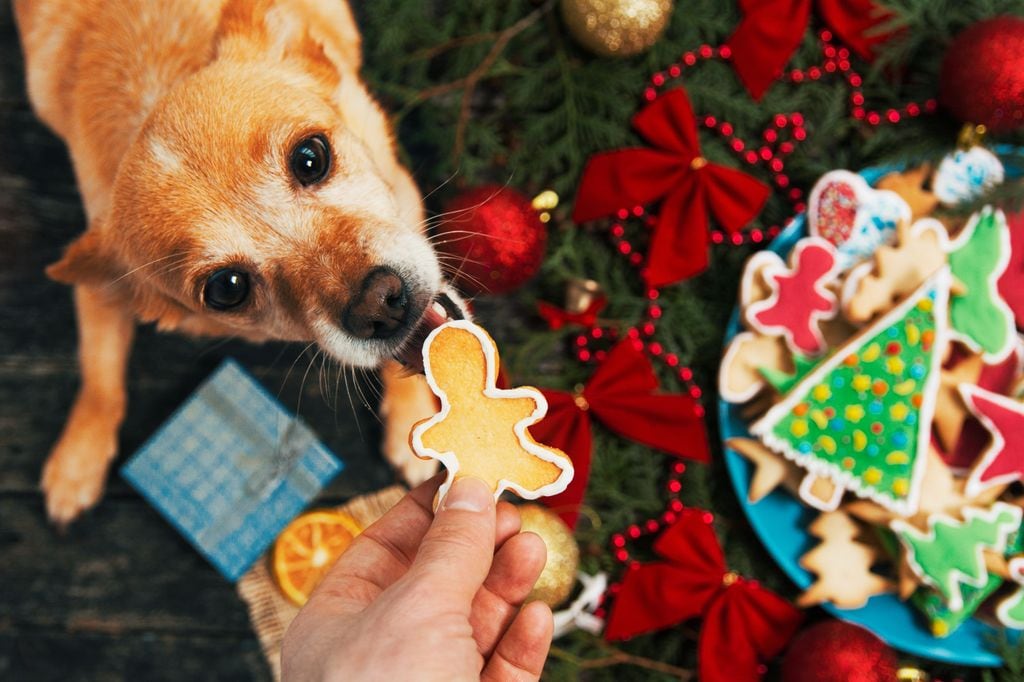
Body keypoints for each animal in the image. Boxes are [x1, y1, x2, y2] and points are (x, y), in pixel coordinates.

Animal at [14, 0, 464, 522]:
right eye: (227, 289)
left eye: (310, 157)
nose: (379, 305)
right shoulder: (100, 290)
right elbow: (100, 374)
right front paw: (77, 461)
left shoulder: (405, 196)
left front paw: (413, 414)